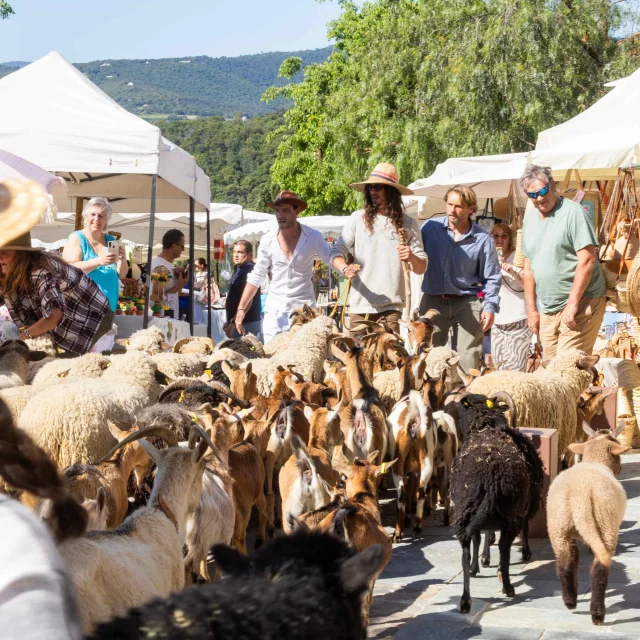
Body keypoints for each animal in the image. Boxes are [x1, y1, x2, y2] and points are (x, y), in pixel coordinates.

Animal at [450, 392, 544, 612]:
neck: (486, 428)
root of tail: (491, 477)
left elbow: (480, 537)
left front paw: (479, 564)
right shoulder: (524, 504)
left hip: (465, 510)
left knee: (466, 551)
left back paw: (466, 600)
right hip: (510, 512)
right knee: (504, 546)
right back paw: (507, 584)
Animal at [544, 428, 632, 624]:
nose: (621, 469)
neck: (594, 460)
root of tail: (580, 496)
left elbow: (575, 559)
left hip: (558, 528)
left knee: (565, 564)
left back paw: (570, 601)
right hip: (606, 526)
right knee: (599, 571)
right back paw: (597, 614)